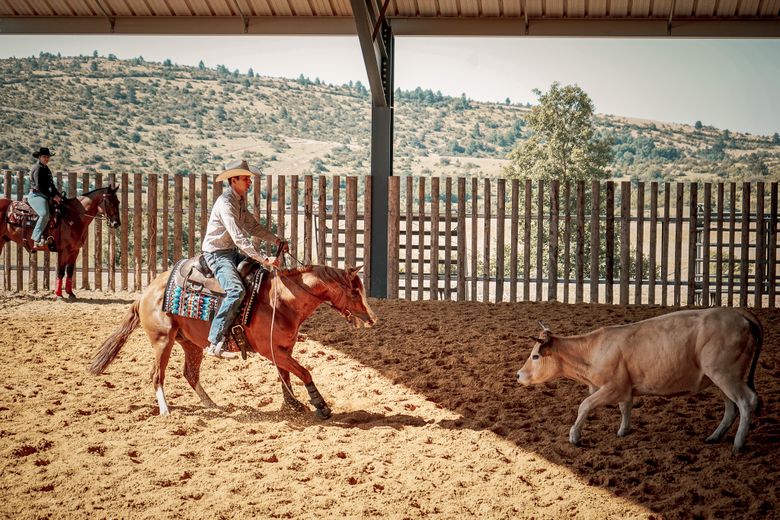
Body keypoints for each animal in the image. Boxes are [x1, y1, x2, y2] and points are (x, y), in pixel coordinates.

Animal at [91, 264, 378, 418]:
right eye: (354, 291)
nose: (372, 319)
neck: (282, 301)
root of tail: (146, 293)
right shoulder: (273, 351)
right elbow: (304, 372)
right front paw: (320, 406)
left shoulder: (283, 349)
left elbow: (286, 377)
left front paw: (293, 404)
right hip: (163, 341)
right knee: (156, 375)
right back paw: (165, 410)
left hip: (191, 344)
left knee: (190, 373)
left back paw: (211, 404)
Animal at [516, 308, 760, 450]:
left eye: (536, 356)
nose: (518, 375)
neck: (594, 350)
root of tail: (741, 314)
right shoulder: (625, 388)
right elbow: (625, 407)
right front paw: (624, 430)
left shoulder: (613, 387)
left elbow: (585, 405)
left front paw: (574, 436)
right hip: (721, 379)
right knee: (731, 407)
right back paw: (715, 437)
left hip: (726, 374)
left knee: (747, 401)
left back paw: (738, 444)